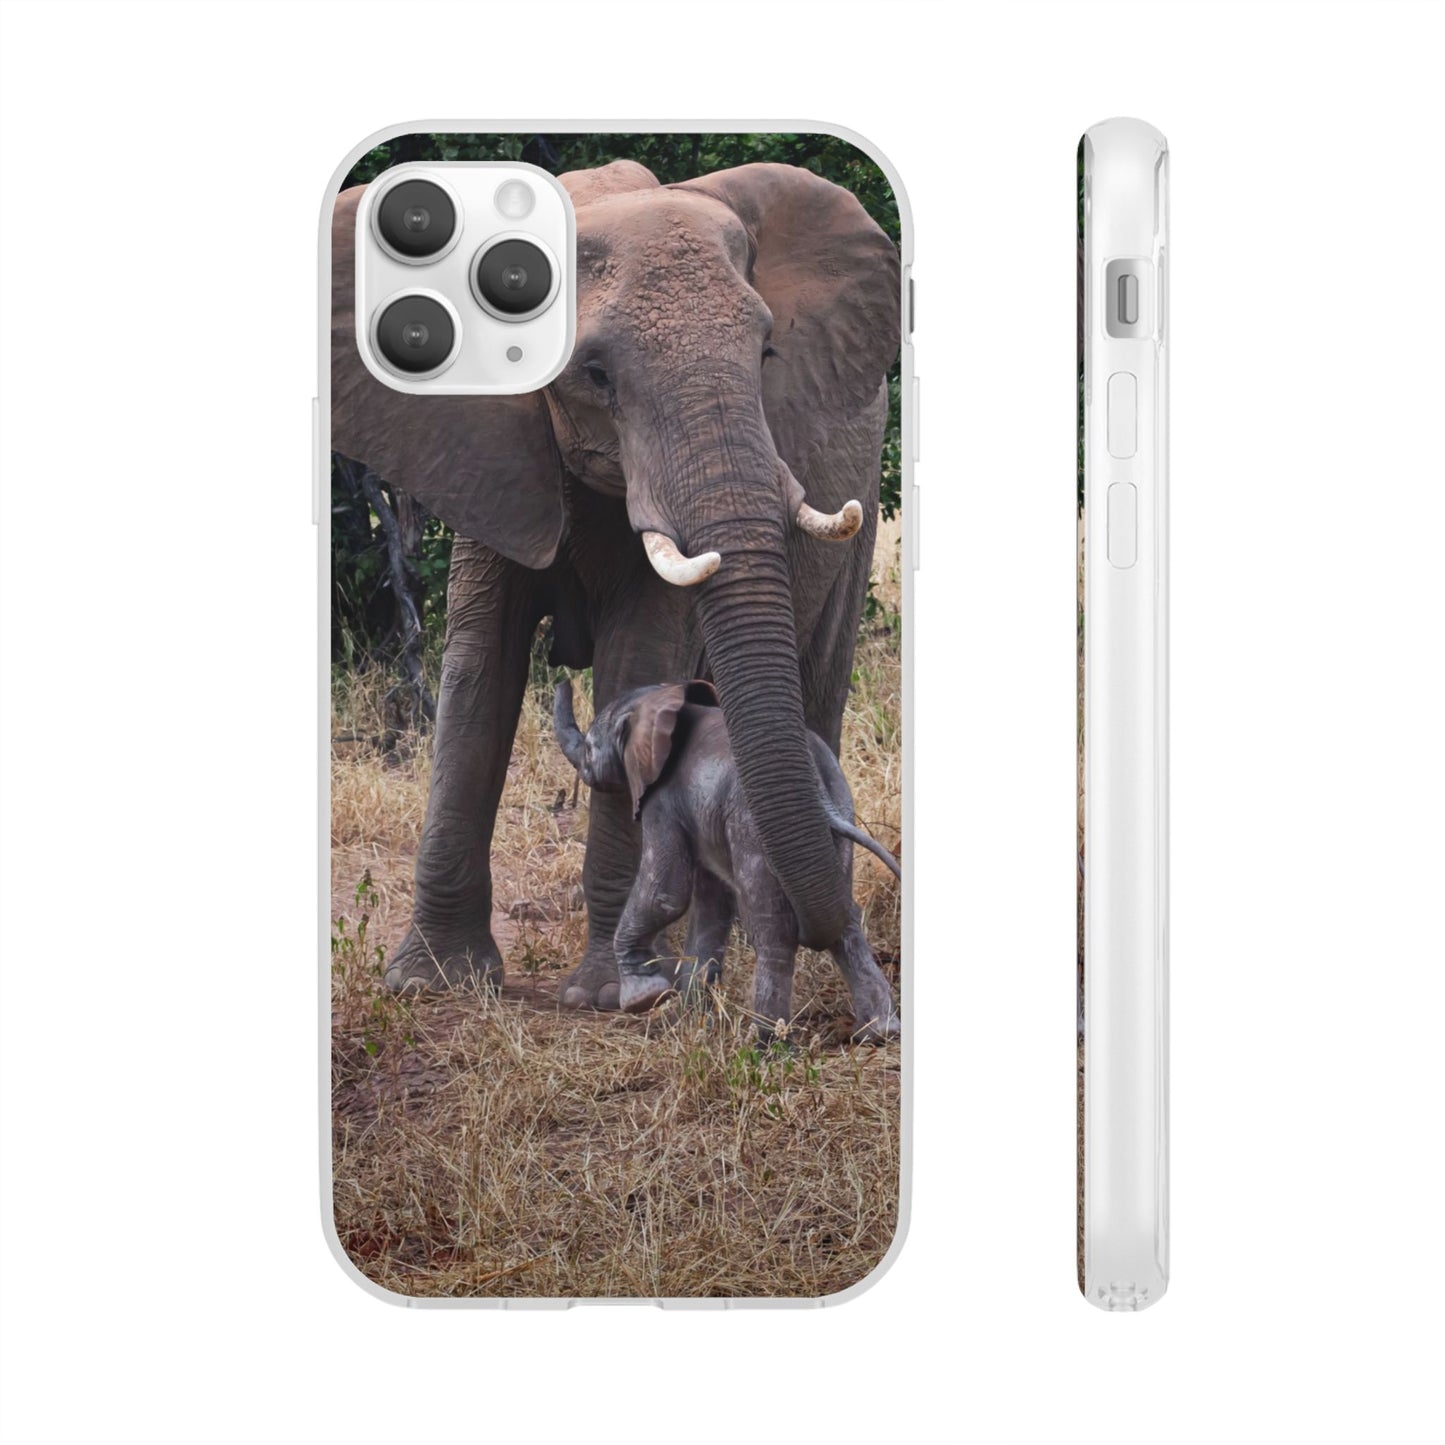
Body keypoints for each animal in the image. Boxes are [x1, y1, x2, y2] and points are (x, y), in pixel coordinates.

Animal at [552, 678, 900, 1042]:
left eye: (590, 749)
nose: (562, 680)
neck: (663, 701)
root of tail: (816, 780)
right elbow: (711, 905)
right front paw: (689, 1022)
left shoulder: (662, 801)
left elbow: (665, 894)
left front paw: (644, 997)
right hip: (841, 811)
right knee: (845, 918)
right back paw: (879, 1032)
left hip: (752, 828)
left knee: (772, 926)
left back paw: (766, 1041)